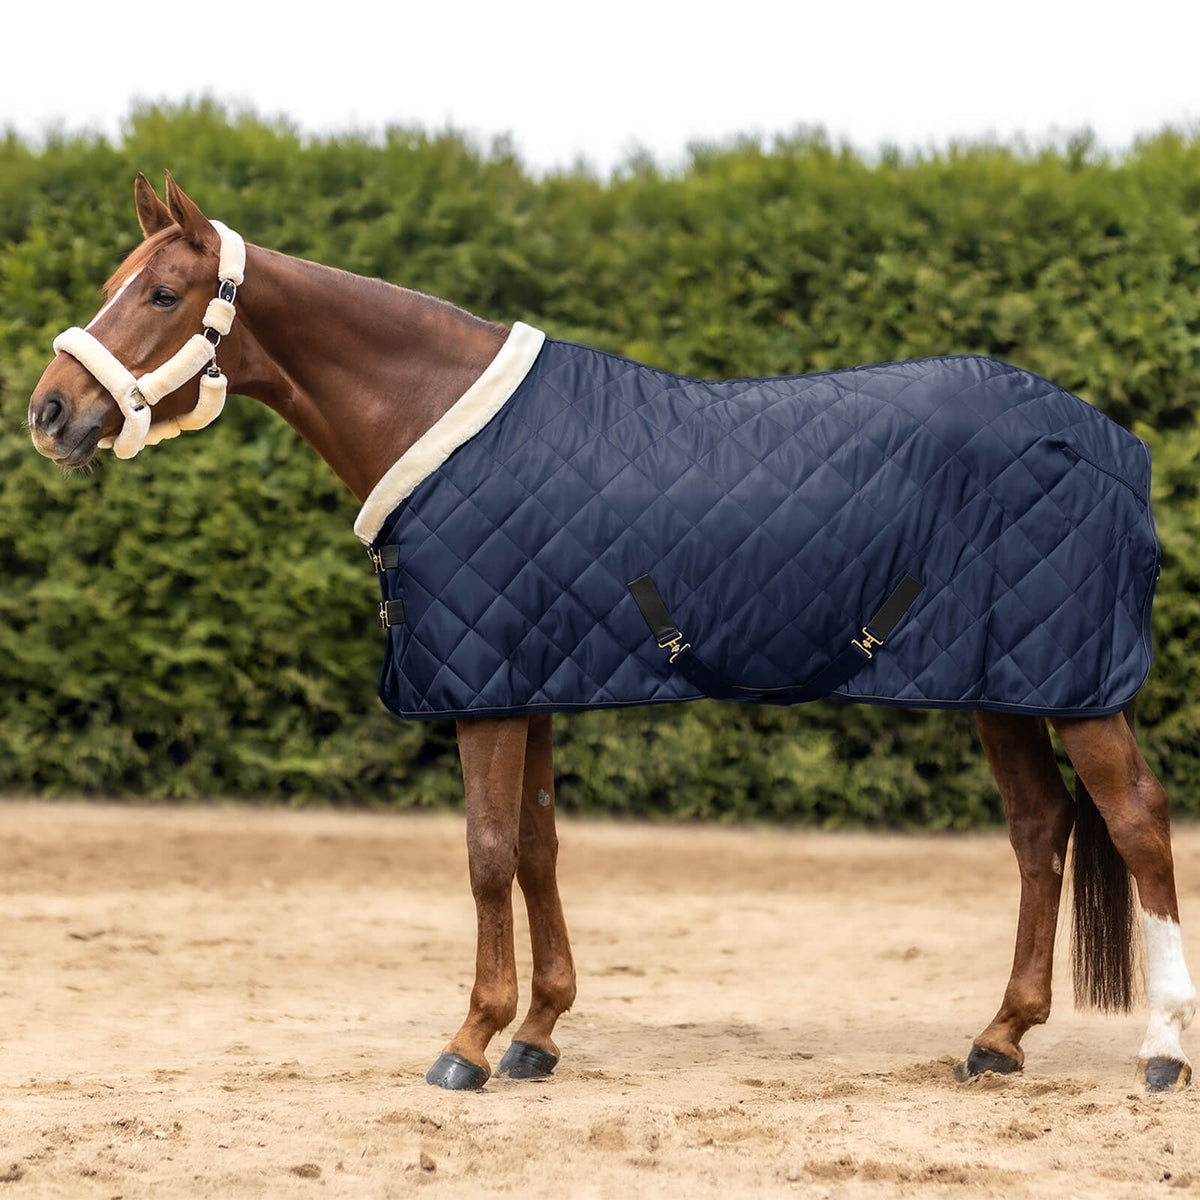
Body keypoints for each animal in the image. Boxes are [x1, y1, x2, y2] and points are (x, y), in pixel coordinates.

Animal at [27, 173, 1196, 1094]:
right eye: (113, 282)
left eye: (162, 293)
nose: (49, 413)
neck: (441, 419)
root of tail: (1113, 445)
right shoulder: (531, 676)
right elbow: (539, 845)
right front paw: (538, 1032)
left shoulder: (487, 687)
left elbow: (487, 852)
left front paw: (469, 1040)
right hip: (1007, 681)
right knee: (1042, 829)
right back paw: (999, 1039)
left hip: (1072, 687)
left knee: (1136, 821)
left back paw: (1161, 1051)